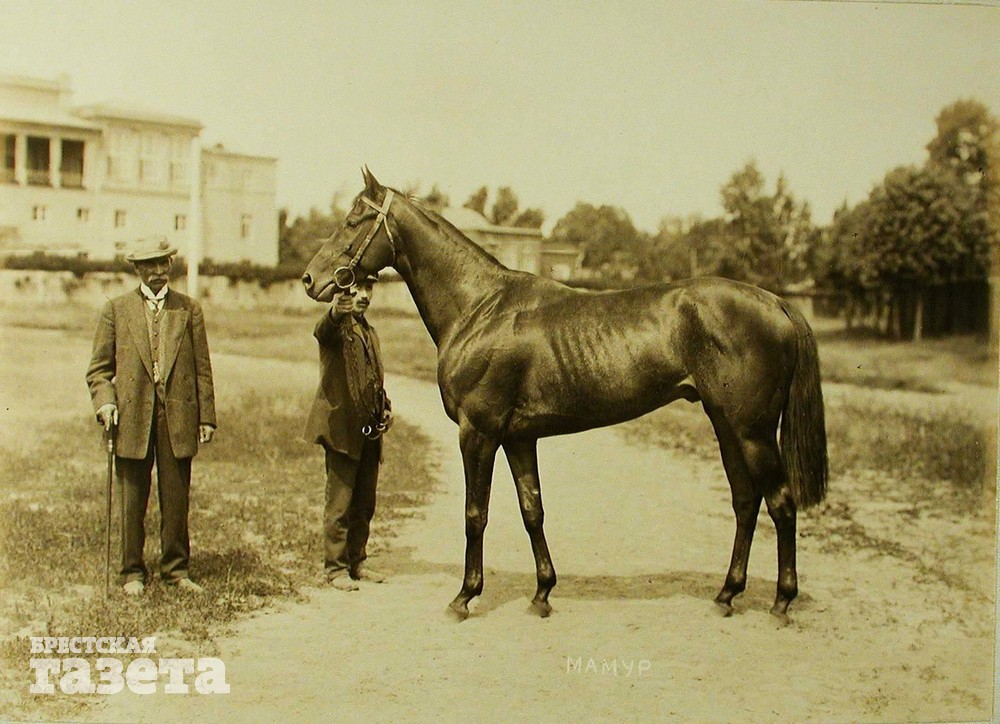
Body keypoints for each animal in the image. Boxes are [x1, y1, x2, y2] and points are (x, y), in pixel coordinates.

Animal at [302, 170, 828, 624]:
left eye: (354, 219)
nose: (311, 279)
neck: (479, 308)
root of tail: (777, 303)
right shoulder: (518, 439)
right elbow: (532, 510)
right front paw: (542, 594)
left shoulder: (478, 433)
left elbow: (476, 514)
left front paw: (465, 596)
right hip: (726, 427)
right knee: (746, 502)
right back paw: (726, 595)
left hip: (751, 431)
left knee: (781, 503)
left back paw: (781, 602)